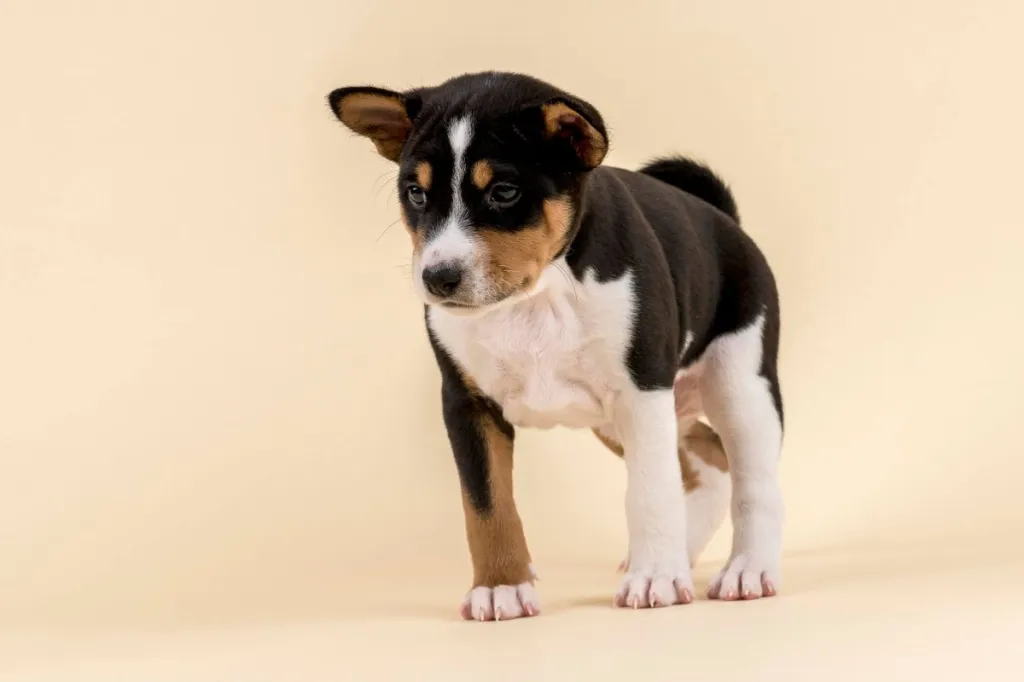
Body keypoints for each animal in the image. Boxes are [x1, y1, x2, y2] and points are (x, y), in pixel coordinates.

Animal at [327, 71, 782, 618]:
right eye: (416, 194)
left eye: (504, 191)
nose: (437, 278)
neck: (535, 298)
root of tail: (722, 217)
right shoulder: (467, 404)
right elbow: (486, 505)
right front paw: (500, 585)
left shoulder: (641, 390)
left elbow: (651, 491)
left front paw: (655, 578)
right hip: (629, 418)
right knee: (711, 461)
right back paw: (683, 554)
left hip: (740, 388)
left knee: (753, 483)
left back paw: (746, 569)